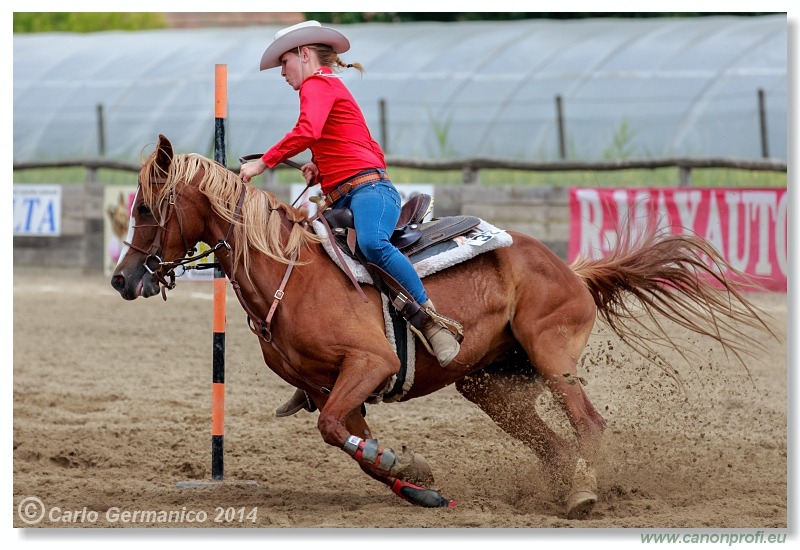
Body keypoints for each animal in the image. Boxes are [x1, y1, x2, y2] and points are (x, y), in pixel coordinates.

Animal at [109, 137, 772, 520]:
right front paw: (417, 479)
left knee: (588, 423)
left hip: (553, 355)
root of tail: (570, 268)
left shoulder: (368, 366)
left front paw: (404, 464)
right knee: (551, 440)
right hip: (489, 385)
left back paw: (583, 494)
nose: (121, 278)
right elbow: (346, 441)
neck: (289, 272)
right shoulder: (331, 388)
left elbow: (334, 432)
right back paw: (556, 490)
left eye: (150, 207)